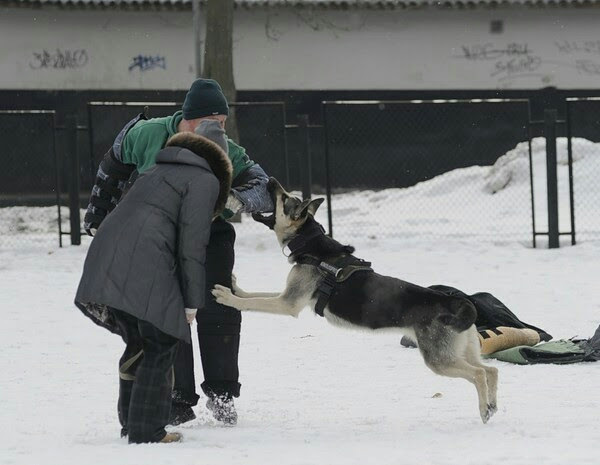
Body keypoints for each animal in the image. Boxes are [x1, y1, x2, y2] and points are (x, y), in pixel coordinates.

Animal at [213, 178, 500, 424]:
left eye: (284, 199)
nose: (270, 180)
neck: (311, 242)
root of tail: (456, 302)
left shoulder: (288, 304)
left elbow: (254, 302)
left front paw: (227, 297)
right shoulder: (288, 295)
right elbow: (255, 294)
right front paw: (235, 287)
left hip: (439, 360)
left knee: (479, 374)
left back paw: (483, 410)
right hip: (461, 349)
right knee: (491, 371)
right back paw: (492, 405)